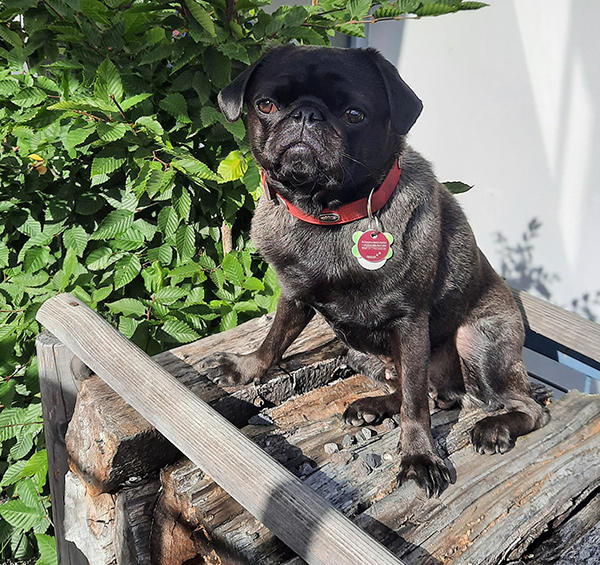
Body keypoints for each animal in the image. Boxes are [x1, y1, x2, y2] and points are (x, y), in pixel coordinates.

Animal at [216, 44, 548, 496]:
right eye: (266, 105)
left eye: (354, 114)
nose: (306, 115)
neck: (328, 215)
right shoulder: (295, 294)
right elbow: (275, 340)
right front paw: (247, 367)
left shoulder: (410, 324)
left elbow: (415, 407)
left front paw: (419, 457)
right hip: (358, 352)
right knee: (417, 391)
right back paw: (373, 406)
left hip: (478, 345)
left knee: (516, 405)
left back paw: (495, 428)